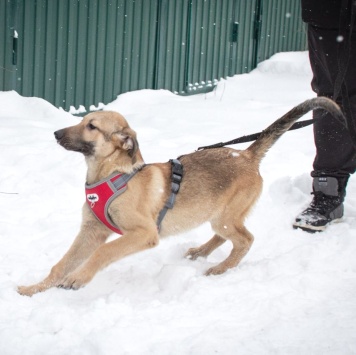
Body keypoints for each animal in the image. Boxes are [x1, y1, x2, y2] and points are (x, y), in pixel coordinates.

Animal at [18, 97, 344, 298]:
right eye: (84, 121)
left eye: (92, 126)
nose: (56, 133)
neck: (111, 174)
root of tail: (247, 155)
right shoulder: (91, 231)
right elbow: (61, 264)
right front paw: (35, 289)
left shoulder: (143, 233)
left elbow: (103, 253)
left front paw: (78, 278)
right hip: (218, 214)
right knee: (227, 236)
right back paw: (201, 252)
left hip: (226, 216)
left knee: (245, 240)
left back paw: (221, 268)